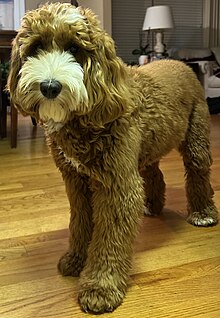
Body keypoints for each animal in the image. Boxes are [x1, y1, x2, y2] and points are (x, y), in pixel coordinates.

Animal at [6, 1, 218, 316]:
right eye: (35, 48)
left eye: (74, 48)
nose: (50, 87)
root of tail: (181, 64)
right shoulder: (76, 181)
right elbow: (80, 222)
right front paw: (75, 259)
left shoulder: (117, 184)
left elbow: (110, 238)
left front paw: (100, 287)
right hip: (145, 149)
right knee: (155, 174)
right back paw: (152, 205)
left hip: (196, 138)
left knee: (198, 172)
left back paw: (203, 213)